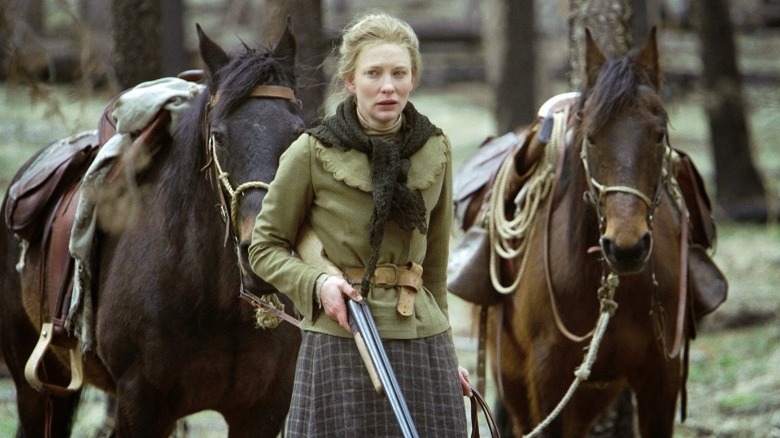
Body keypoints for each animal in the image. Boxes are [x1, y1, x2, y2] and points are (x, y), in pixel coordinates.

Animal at [0, 23, 304, 434]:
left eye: (298, 133)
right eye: (219, 135)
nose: (258, 252)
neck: (216, 302)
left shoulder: (264, 410)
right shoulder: (140, 403)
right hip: (37, 388)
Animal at [460, 29, 716, 436]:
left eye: (659, 134)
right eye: (591, 136)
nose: (626, 247)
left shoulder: (662, 376)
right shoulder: (545, 376)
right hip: (513, 376)